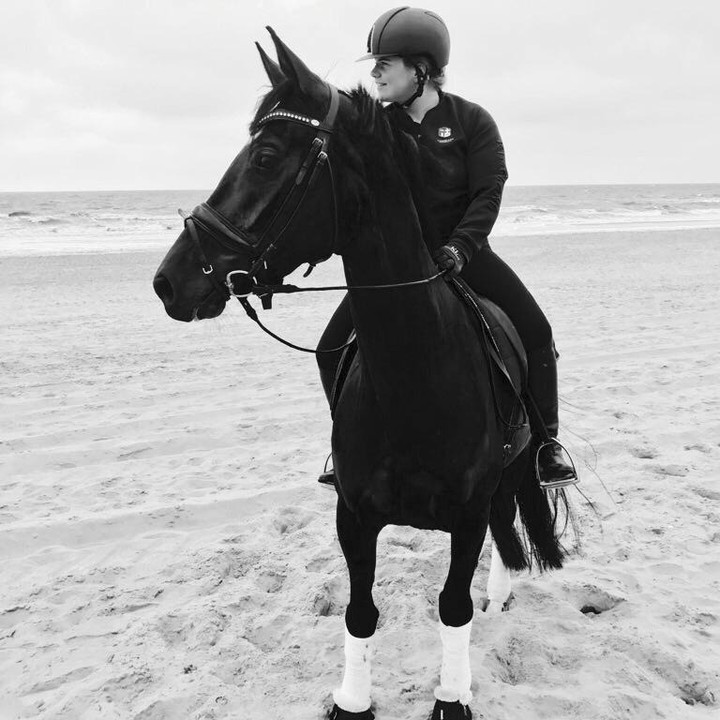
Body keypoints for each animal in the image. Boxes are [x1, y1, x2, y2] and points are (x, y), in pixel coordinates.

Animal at [153, 28, 567, 720]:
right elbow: (360, 611)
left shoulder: (465, 516)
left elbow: (452, 608)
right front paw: (353, 700)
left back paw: (501, 589)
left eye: (265, 156)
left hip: (516, 461)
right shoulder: (354, 516)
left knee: (510, 510)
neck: (414, 377)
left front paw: (452, 695)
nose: (169, 281)